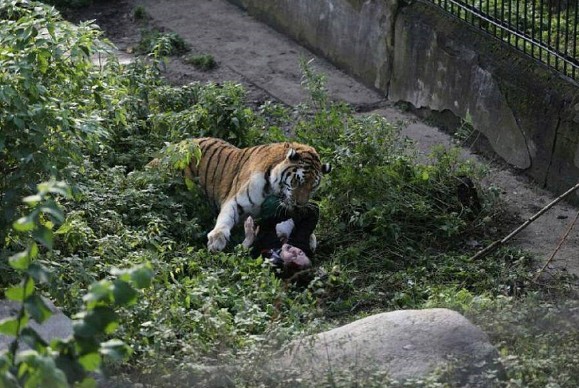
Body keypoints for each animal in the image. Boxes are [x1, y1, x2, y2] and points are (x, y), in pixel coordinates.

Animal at [185, 136, 330, 252]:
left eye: (313, 187)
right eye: (297, 181)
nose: (299, 205)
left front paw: (311, 239)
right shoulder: (235, 200)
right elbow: (225, 218)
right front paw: (217, 239)